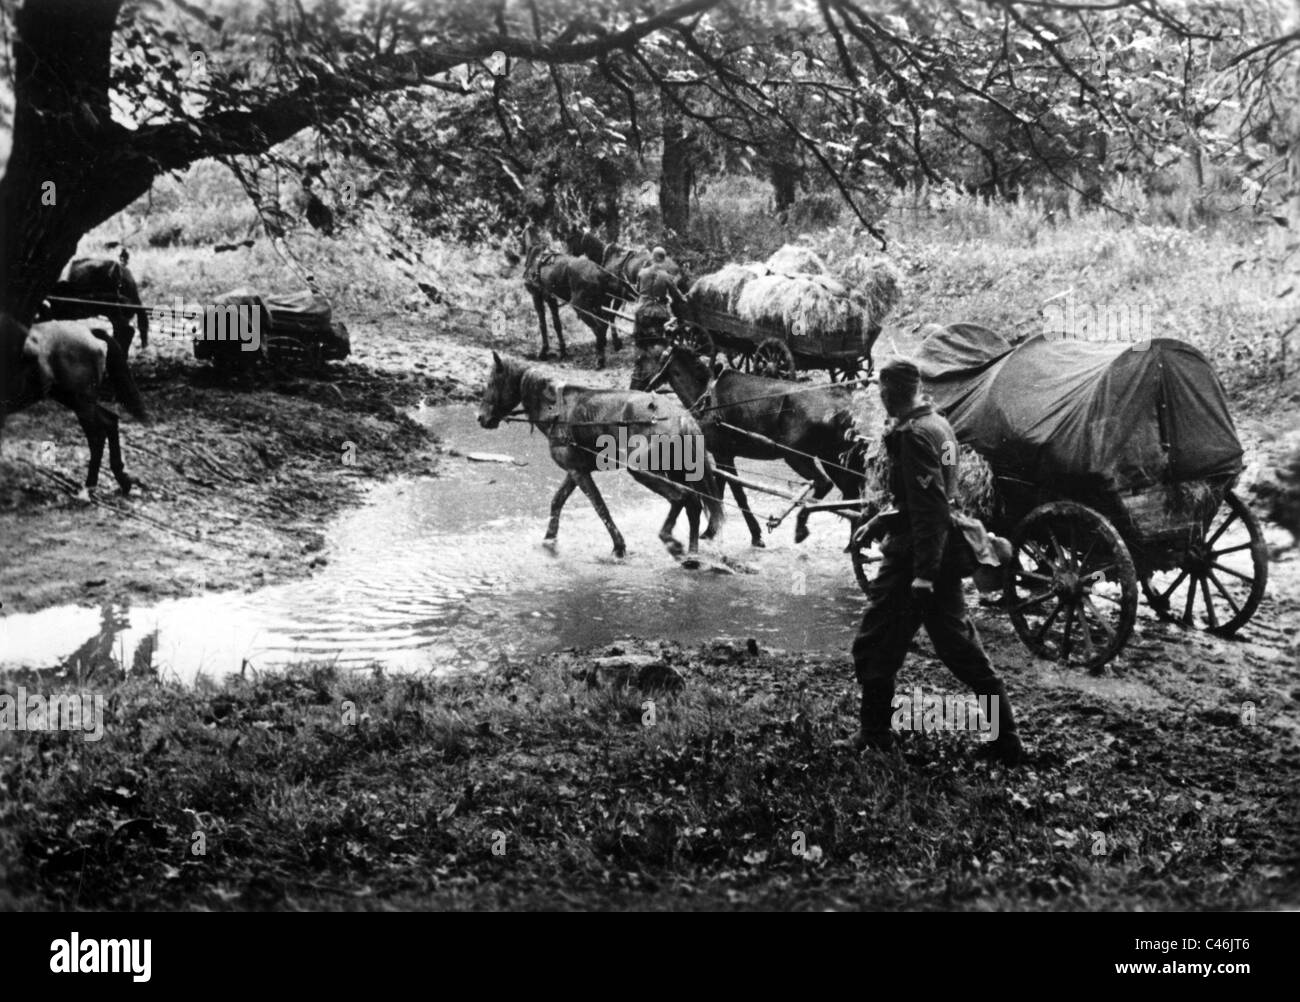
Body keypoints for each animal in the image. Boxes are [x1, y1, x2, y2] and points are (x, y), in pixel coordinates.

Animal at [1, 315, 149, 496]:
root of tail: (89, 331)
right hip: (74, 399)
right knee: (110, 420)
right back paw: (121, 479)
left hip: (81, 402)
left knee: (98, 435)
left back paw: (89, 486)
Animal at [478, 353, 728, 561]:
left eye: (491, 383)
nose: (481, 417)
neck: (557, 410)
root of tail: (680, 416)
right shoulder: (576, 470)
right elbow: (557, 501)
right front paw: (549, 539)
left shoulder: (578, 472)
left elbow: (600, 507)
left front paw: (619, 547)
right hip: (677, 470)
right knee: (693, 503)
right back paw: (692, 554)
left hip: (644, 471)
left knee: (681, 497)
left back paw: (671, 541)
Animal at [642, 345, 863, 548]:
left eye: (657, 359)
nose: (644, 384)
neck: (707, 397)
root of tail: (841, 406)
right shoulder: (723, 456)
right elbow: (720, 491)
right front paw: (711, 531)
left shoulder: (723, 455)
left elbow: (737, 494)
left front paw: (755, 535)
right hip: (832, 458)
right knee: (852, 495)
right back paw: (853, 542)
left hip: (796, 456)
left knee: (824, 484)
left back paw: (802, 525)